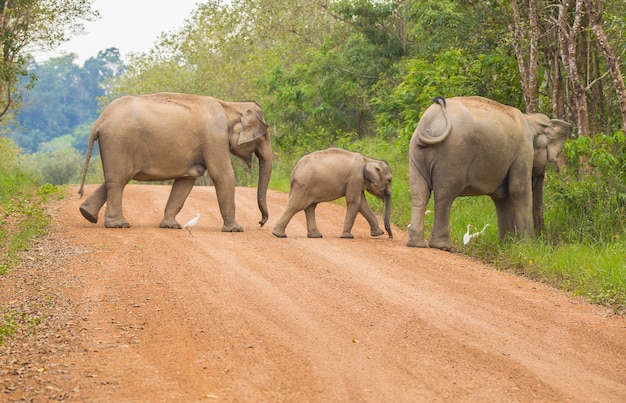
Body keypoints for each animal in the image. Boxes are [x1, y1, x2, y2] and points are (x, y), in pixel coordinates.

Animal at [77, 91, 272, 230]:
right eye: (264, 137)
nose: (260, 223)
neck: (230, 106)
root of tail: (100, 120)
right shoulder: (215, 137)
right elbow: (223, 175)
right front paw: (236, 229)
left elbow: (187, 179)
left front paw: (170, 226)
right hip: (119, 141)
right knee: (118, 181)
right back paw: (119, 225)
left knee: (114, 179)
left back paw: (87, 214)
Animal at [404, 96, 572, 251]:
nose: (542, 240)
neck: (530, 119)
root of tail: (430, 121)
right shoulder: (524, 151)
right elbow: (518, 191)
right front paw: (525, 247)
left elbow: (502, 197)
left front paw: (507, 245)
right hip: (453, 155)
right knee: (445, 195)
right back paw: (444, 247)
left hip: (416, 152)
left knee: (419, 193)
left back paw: (417, 244)